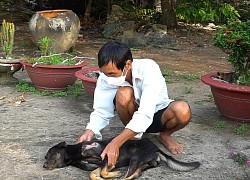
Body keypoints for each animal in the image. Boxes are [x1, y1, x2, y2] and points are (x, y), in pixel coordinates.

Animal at [44, 138, 200, 179]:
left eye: (50, 153)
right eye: (45, 157)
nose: (44, 165)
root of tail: (156, 149)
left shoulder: (106, 157)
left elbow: (102, 171)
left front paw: (113, 173)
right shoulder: (97, 164)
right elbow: (93, 173)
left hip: (135, 158)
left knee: (128, 175)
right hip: (141, 164)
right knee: (135, 174)